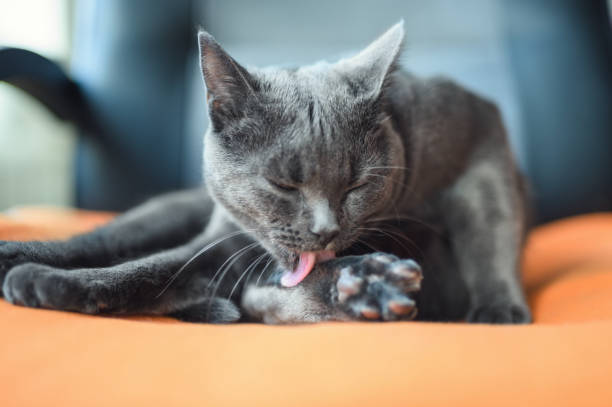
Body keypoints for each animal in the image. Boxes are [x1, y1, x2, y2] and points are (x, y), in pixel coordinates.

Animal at [0, 23, 532, 326]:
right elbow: (145, 272)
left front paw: (498, 309)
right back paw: (18, 258)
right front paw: (47, 283)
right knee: (105, 239)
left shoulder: (478, 134)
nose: (326, 229)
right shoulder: (222, 245)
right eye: (282, 184)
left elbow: (490, 227)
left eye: (356, 185)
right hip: (163, 216)